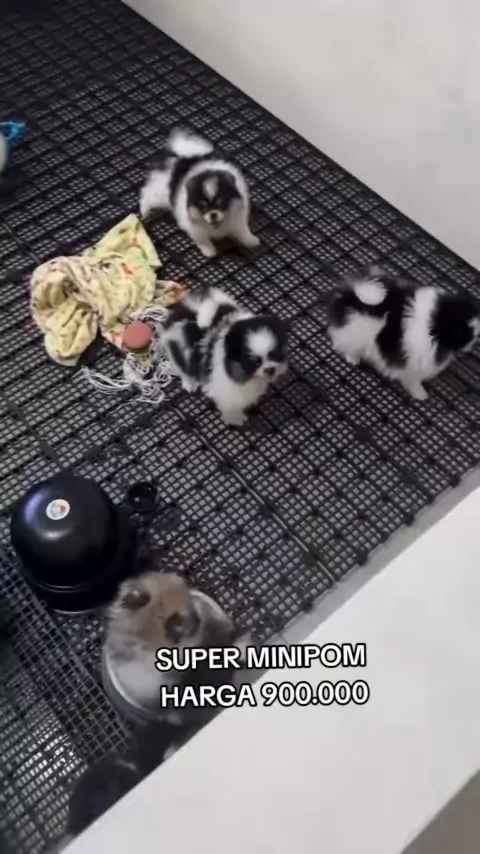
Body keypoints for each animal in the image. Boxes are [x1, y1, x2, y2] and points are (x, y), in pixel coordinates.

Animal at [139, 128, 259, 258]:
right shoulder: (194, 227)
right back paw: (144, 210)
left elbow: (242, 231)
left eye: (221, 203)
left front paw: (251, 240)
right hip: (161, 194)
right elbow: (202, 239)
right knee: (147, 193)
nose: (213, 214)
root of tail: (186, 156)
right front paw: (208, 250)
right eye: (202, 206)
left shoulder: (237, 217)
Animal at [161, 287, 288, 426]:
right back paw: (190, 383)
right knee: (182, 367)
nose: (270, 369)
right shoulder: (228, 393)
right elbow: (230, 409)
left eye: (274, 354)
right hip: (178, 351)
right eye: (254, 363)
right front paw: (236, 420)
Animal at [327, 265, 480, 400]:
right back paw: (353, 359)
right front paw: (421, 395)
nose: (474, 342)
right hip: (353, 335)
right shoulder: (412, 365)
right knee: (346, 345)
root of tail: (351, 295)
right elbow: (413, 381)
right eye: (462, 333)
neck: (433, 325)